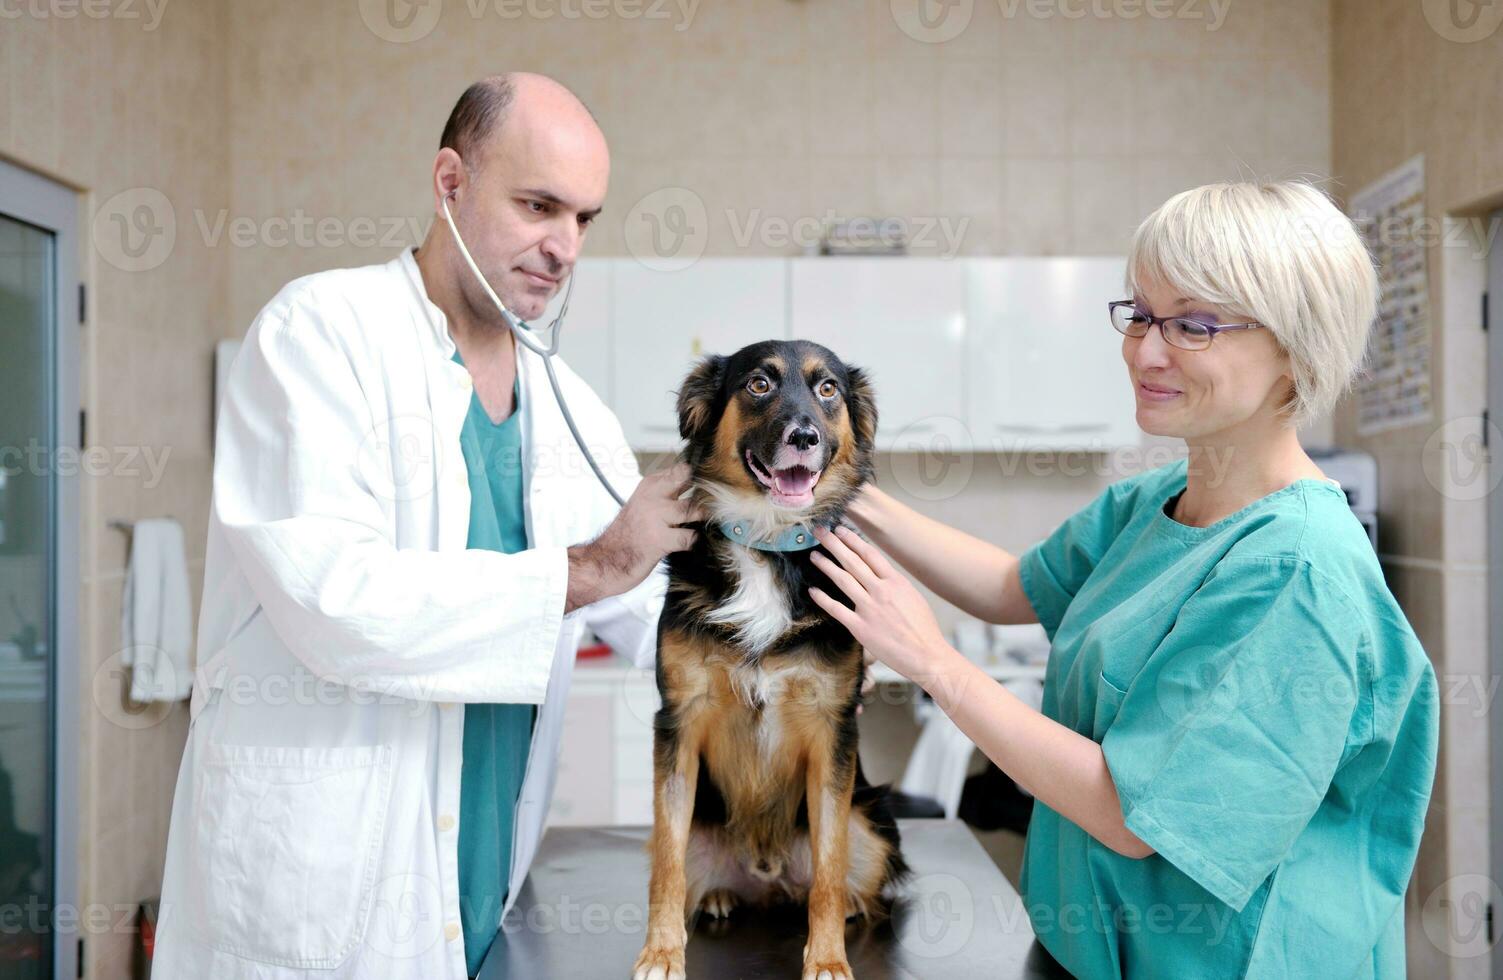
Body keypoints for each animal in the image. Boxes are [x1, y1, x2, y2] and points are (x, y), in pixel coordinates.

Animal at [631, 342, 907, 980]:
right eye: (759, 384)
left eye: (828, 389)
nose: (804, 436)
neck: (766, 541)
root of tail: (768, 874)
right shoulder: (677, 723)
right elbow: (666, 865)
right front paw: (661, 953)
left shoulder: (834, 731)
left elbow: (828, 869)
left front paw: (827, 959)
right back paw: (717, 895)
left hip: (874, 820)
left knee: (839, 878)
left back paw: (850, 906)